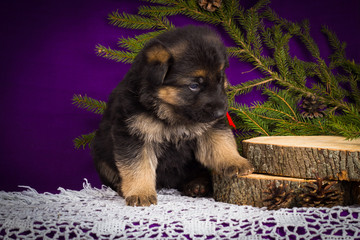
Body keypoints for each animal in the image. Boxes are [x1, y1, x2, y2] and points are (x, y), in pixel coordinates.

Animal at [93, 25, 253, 206]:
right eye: (194, 85)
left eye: (220, 79)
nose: (220, 113)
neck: (171, 113)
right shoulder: (134, 135)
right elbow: (138, 166)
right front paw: (141, 192)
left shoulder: (210, 127)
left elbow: (221, 143)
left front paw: (235, 161)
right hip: (101, 158)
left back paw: (198, 184)